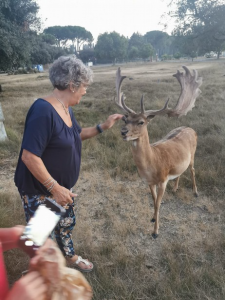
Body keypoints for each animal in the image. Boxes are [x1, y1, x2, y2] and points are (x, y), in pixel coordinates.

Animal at [115, 66, 203, 239]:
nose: (123, 132)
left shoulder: (162, 180)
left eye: (141, 122)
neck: (152, 164)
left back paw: (195, 192)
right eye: (125, 119)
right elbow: (154, 201)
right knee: (181, 172)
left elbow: (157, 203)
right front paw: (152, 218)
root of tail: (191, 128)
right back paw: (175, 188)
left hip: (193, 155)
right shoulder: (149, 182)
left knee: (193, 170)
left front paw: (155, 232)